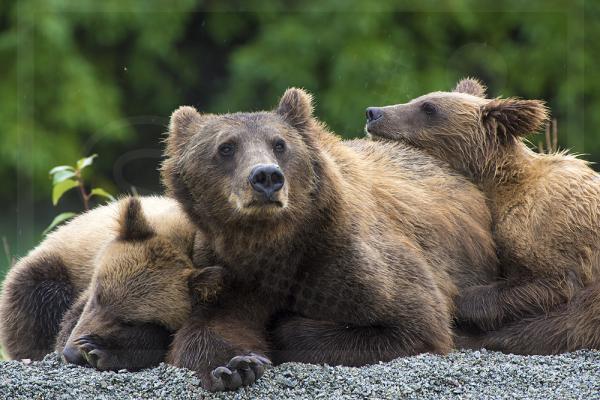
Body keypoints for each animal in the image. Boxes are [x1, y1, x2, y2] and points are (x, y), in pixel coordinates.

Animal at [161, 87, 496, 390]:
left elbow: (414, 322)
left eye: (279, 144)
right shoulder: (227, 270)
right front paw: (236, 366)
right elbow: (209, 326)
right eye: (226, 147)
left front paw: (283, 327)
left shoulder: (340, 256)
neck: (274, 242)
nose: (266, 177)